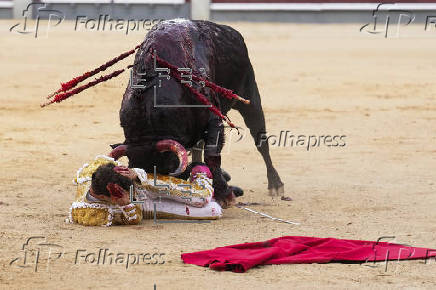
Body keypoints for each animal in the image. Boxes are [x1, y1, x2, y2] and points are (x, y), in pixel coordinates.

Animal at [113, 19, 282, 202]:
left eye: (169, 169)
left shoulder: (214, 120)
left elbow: (211, 155)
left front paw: (225, 195)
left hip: (249, 97)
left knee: (260, 140)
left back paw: (275, 184)